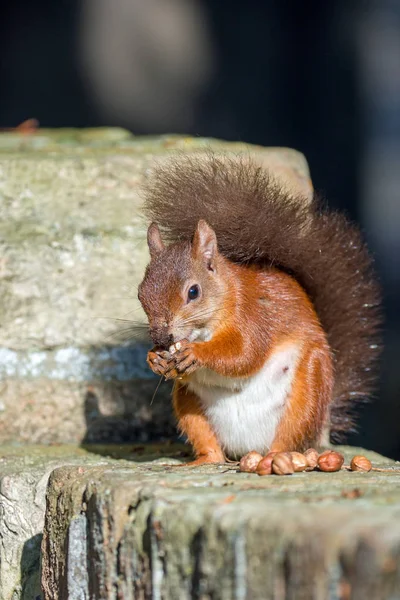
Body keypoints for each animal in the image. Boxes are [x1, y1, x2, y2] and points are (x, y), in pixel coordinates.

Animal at [138, 154, 382, 464]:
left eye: (193, 292)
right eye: (140, 294)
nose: (161, 338)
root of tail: (248, 447)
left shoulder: (254, 315)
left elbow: (245, 353)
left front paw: (197, 354)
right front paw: (154, 359)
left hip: (308, 389)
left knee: (288, 436)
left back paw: (275, 458)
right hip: (189, 403)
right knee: (209, 444)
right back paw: (205, 459)